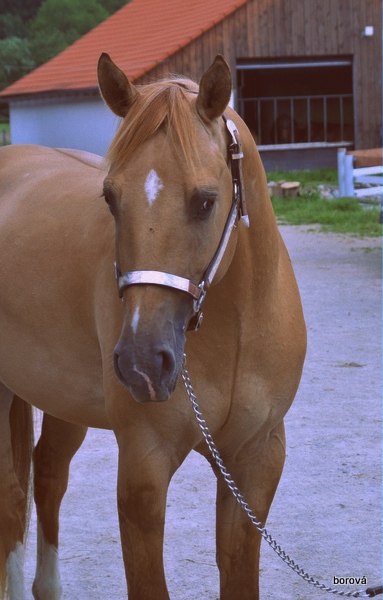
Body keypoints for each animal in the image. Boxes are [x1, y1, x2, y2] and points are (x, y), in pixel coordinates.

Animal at [0, 52, 306, 600]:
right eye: (109, 198)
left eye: (205, 200)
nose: (143, 363)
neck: (236, 332)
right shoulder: (144, 467)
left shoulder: (255, 463)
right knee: (11, 500)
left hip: (60, 398)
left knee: (48, 474)